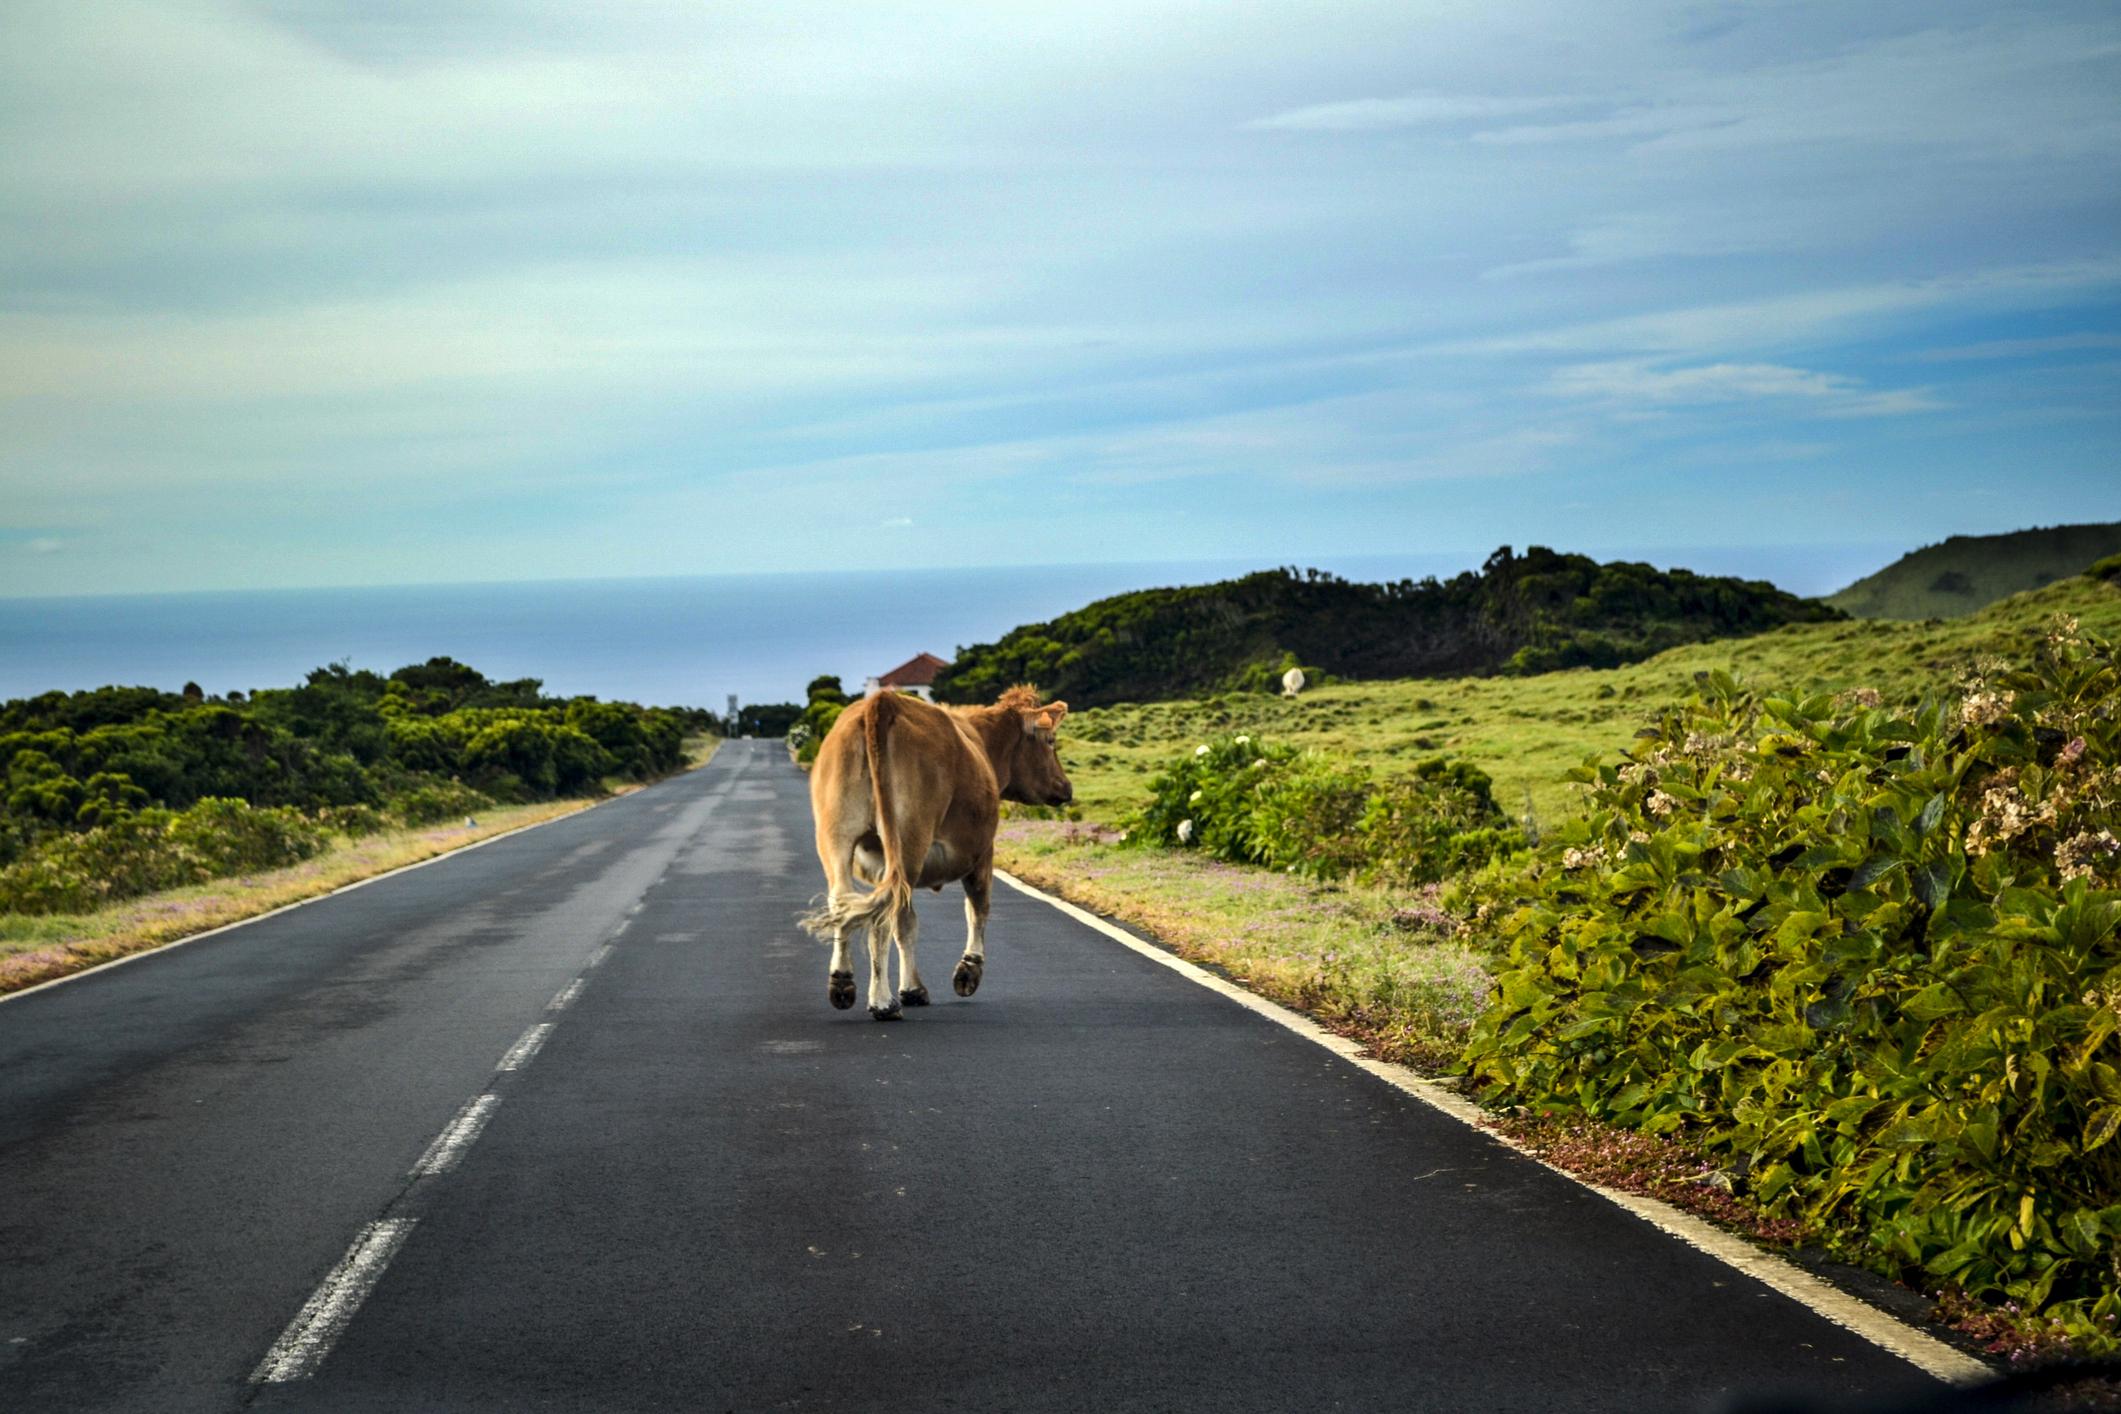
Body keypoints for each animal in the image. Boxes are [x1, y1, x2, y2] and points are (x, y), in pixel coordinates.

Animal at [797, 686, 1068, 1017]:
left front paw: (913, 987)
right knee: (888, 915)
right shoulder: (983, 851)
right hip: (908, 841)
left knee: (844, 901)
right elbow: (977, 908)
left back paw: (842, 982)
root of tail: (883, 701)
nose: (1065, 787)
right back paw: (884, 1002)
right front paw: (966, 972)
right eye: (1050, 740)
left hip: (837, 836)